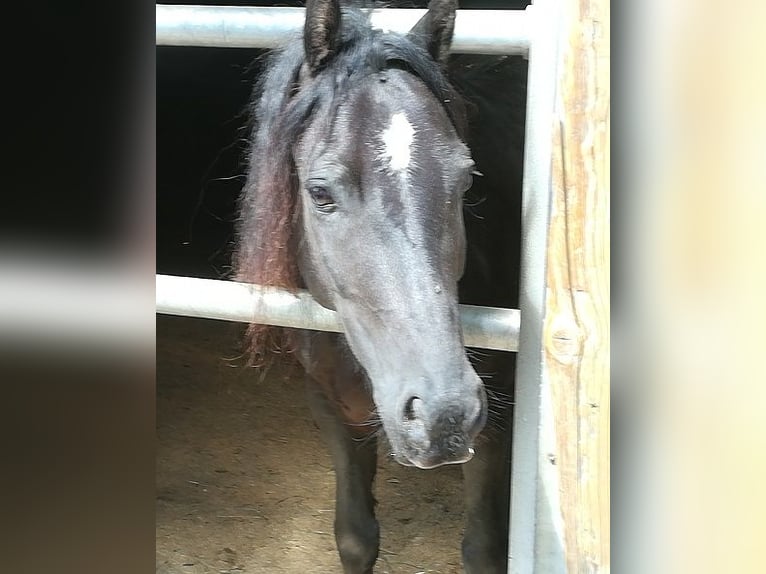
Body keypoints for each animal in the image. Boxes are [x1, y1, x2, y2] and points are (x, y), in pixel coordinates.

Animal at [233, 0, 526, 571]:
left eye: (467, 180)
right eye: (319, 192)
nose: (444, 414)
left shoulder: (496, 424)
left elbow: (482, 548)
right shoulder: (329, 405)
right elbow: (355, 536)